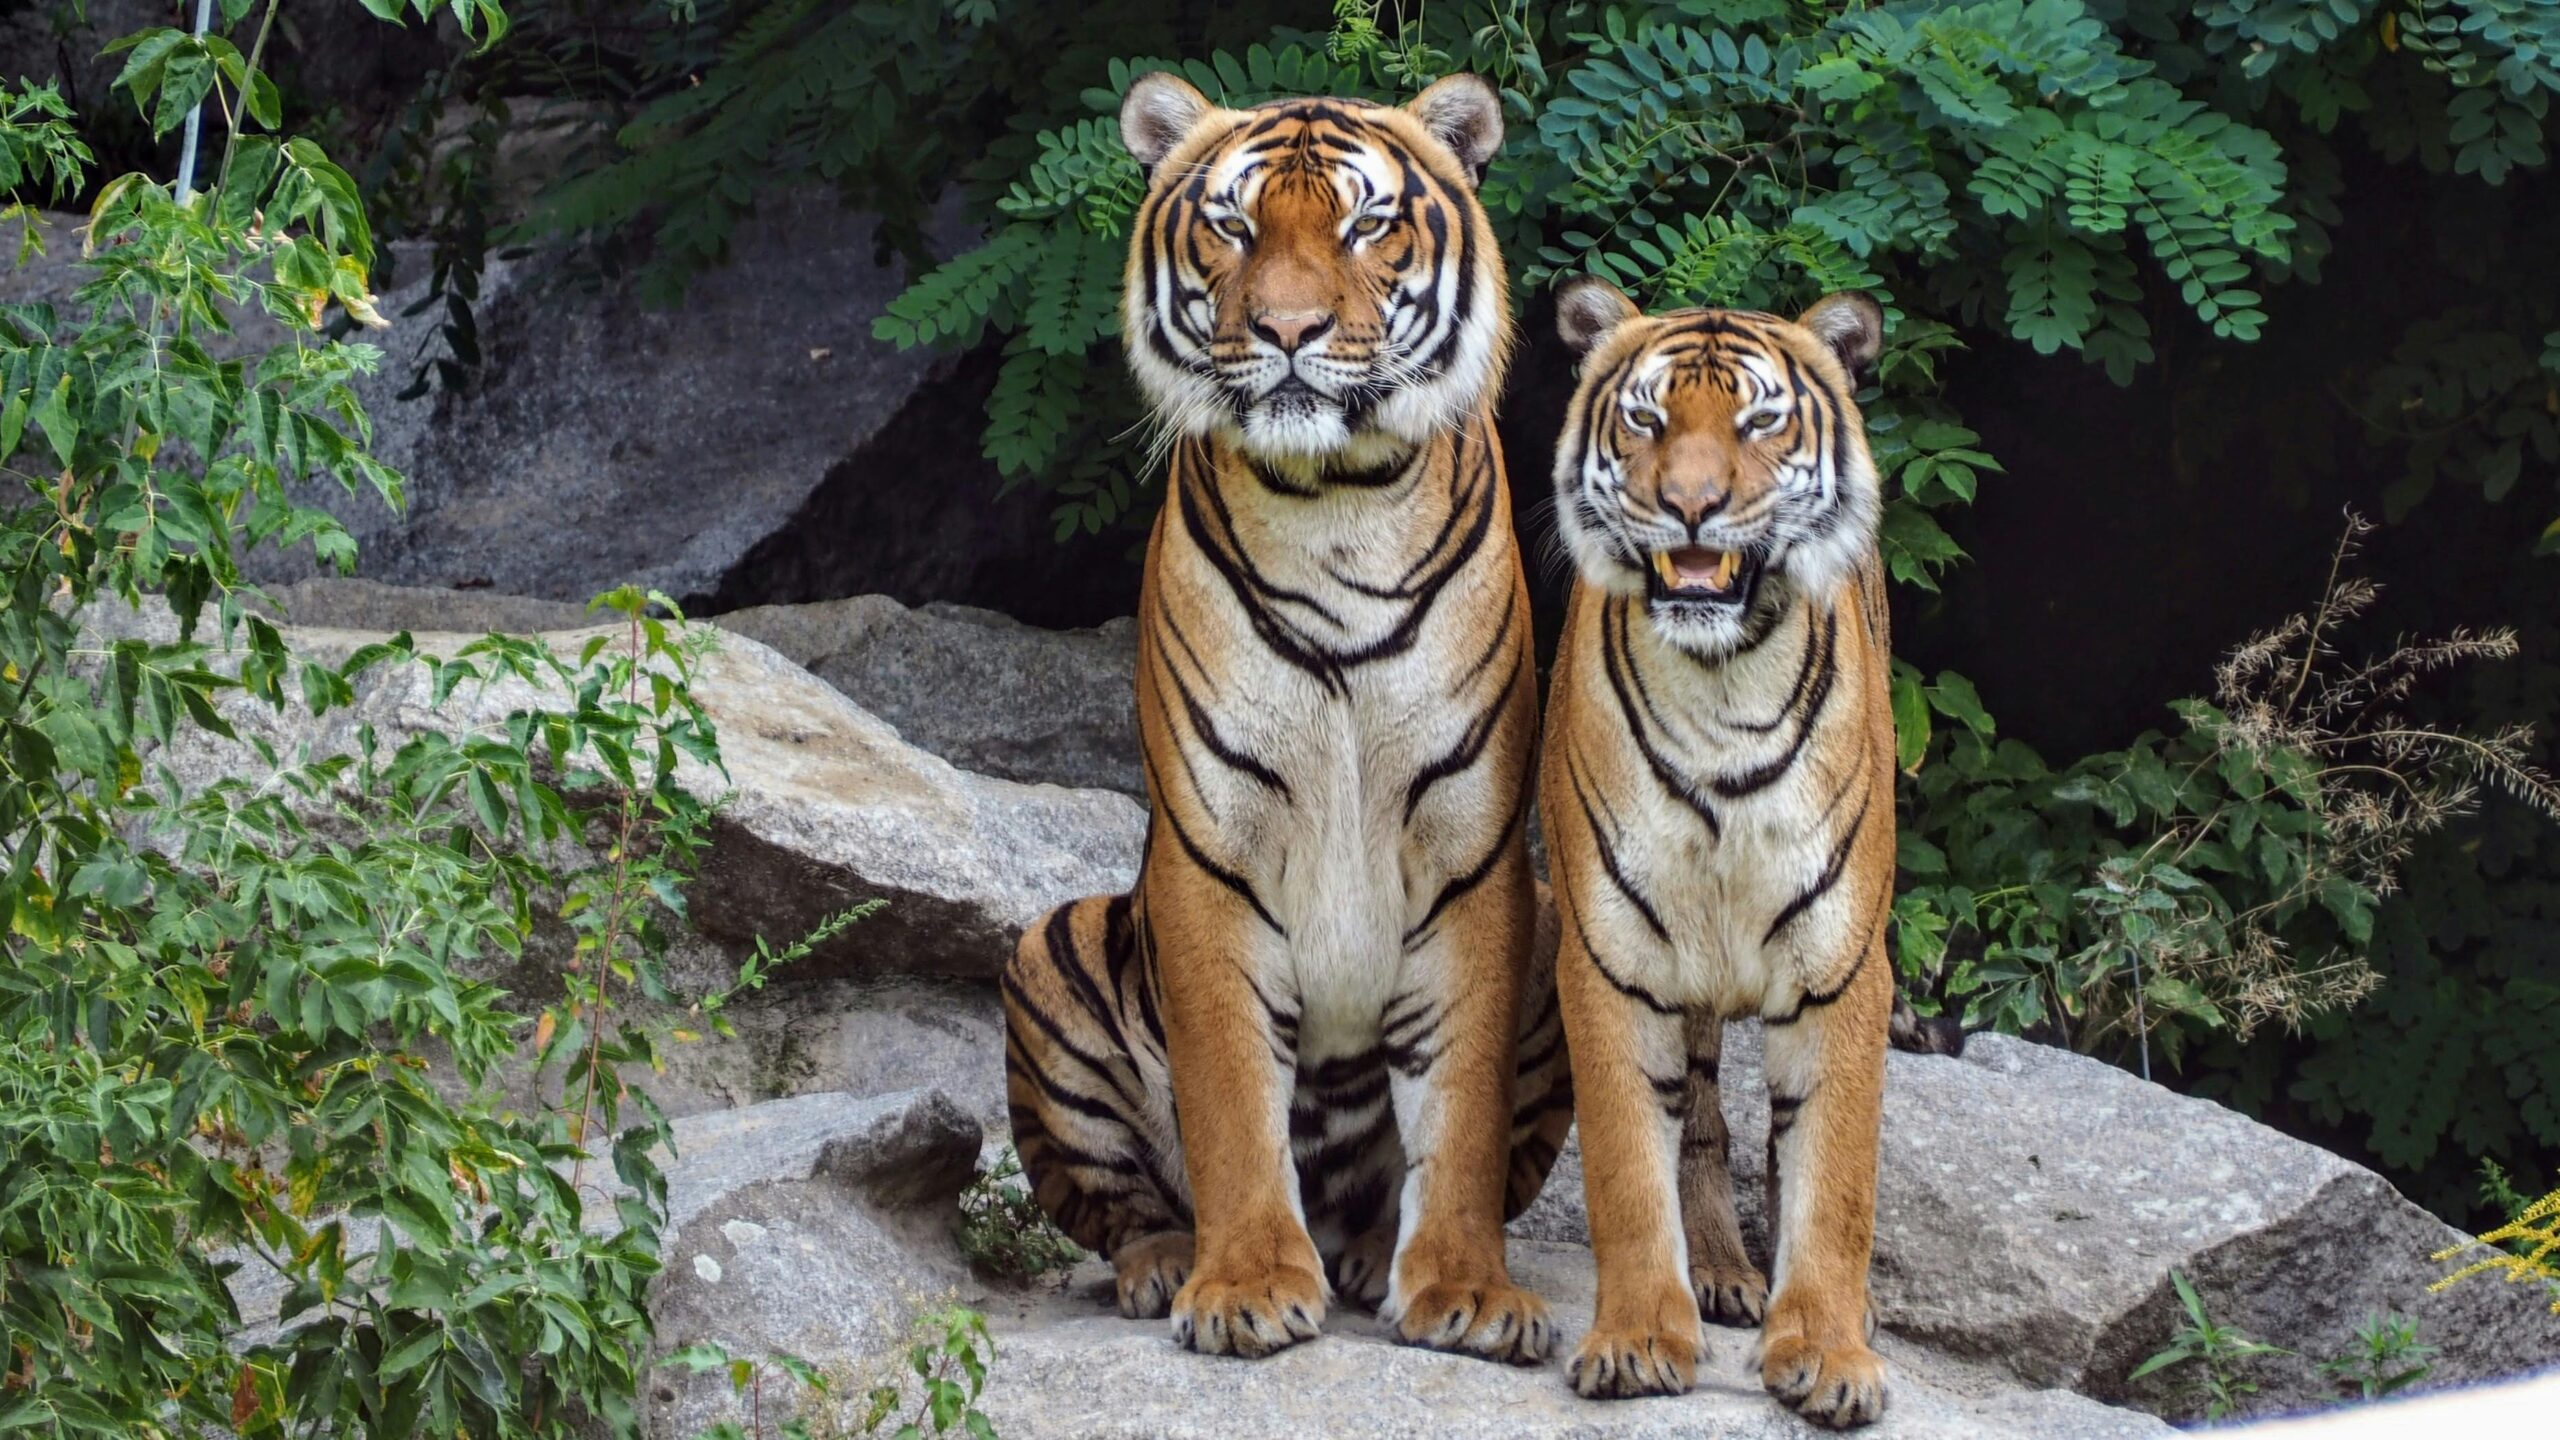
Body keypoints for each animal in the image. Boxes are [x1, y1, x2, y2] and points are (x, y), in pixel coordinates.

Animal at [988, 73, 1566, 1363]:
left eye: (1365, 225)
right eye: (1233, 226)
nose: (1287, 331)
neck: (1335, 503)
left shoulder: (1474, 854)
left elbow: (1457, 1112)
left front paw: (1464, 1289)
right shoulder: (1212, 850)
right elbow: (1230, 1097)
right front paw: (1246, 1283)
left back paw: (1369, 1251)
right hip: (1052, 946)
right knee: (1116, 1204)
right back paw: (1167, 1261)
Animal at [1525, 278, 1925, 1424]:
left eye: (1759, 422)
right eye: (1647, 420)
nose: (1692, 506)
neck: (1723, 693)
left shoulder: (1844, 969)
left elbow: (1833, 1180)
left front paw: (1829, 1353)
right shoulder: (1610, 961)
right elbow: (1627, 1166)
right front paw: (1637, 1339)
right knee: (1700, 1121)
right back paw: (1717, 1272)